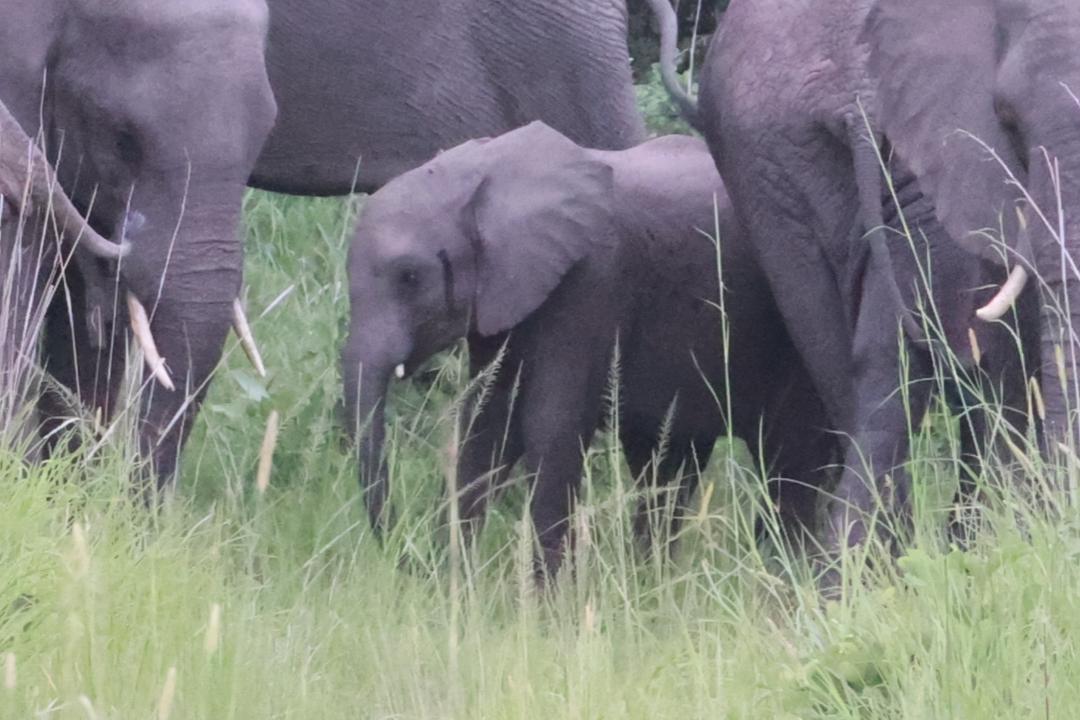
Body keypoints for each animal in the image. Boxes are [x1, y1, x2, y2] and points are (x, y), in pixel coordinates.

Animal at [345, 120, 833, 578]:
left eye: (410, 277)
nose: (406, 559)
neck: (482, 176)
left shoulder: (592, 280)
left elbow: (551, 428)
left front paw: (547, 604)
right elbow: (485, 427)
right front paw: (457, 590)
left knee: (788, 461)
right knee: (667, 466)